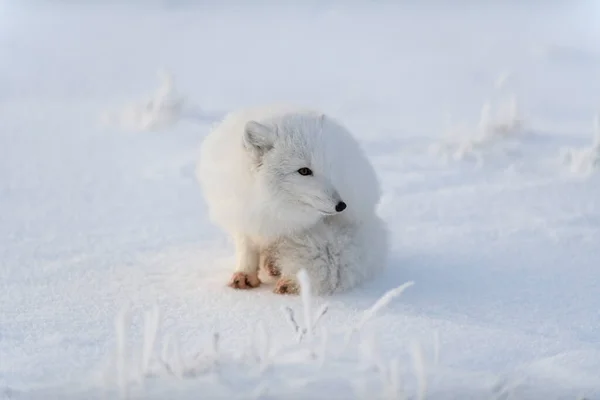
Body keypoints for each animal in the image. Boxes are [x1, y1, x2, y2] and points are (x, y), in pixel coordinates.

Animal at [197, 104, 390, 296]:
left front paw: (292, 280)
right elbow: (247, 250)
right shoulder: (244, 219)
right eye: (304, 171)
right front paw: (244, 275)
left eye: (329, 168)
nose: (341, 205)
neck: (272, 206)